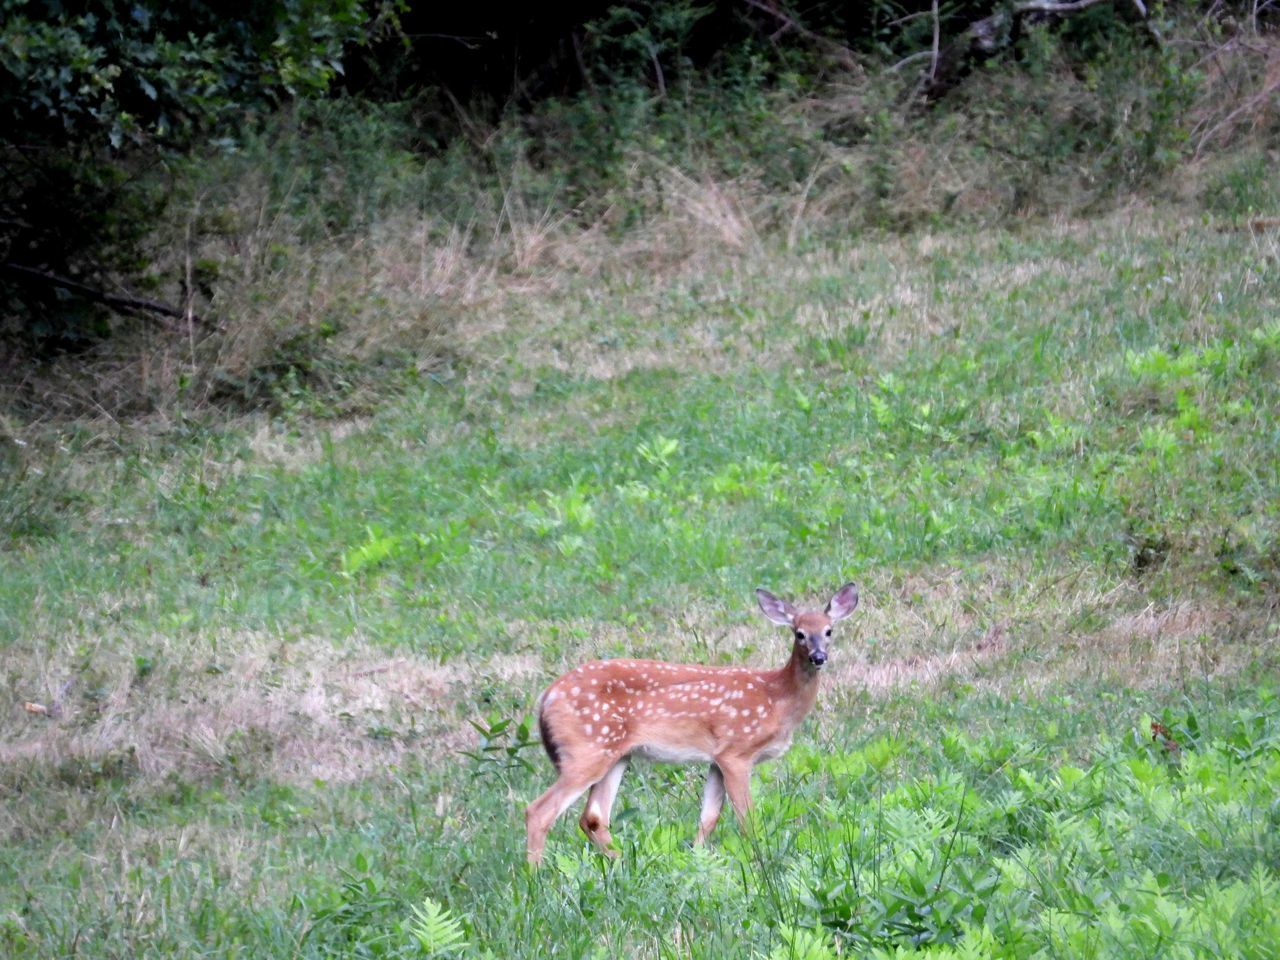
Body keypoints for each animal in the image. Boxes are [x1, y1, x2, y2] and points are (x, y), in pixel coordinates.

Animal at [519, 583, 860, 870]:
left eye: (829, 631)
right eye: (799, 633)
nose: (818, 657)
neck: (776, 697)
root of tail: (547, 696)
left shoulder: (716, 759)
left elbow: (708, 818)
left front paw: (697, 863)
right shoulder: (737, 751)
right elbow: (747, 818)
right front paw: (759, 862)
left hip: (616, 754)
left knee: (592, 817)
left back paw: (628, 864)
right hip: (587, 748)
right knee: (539, 810)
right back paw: (535, 877)